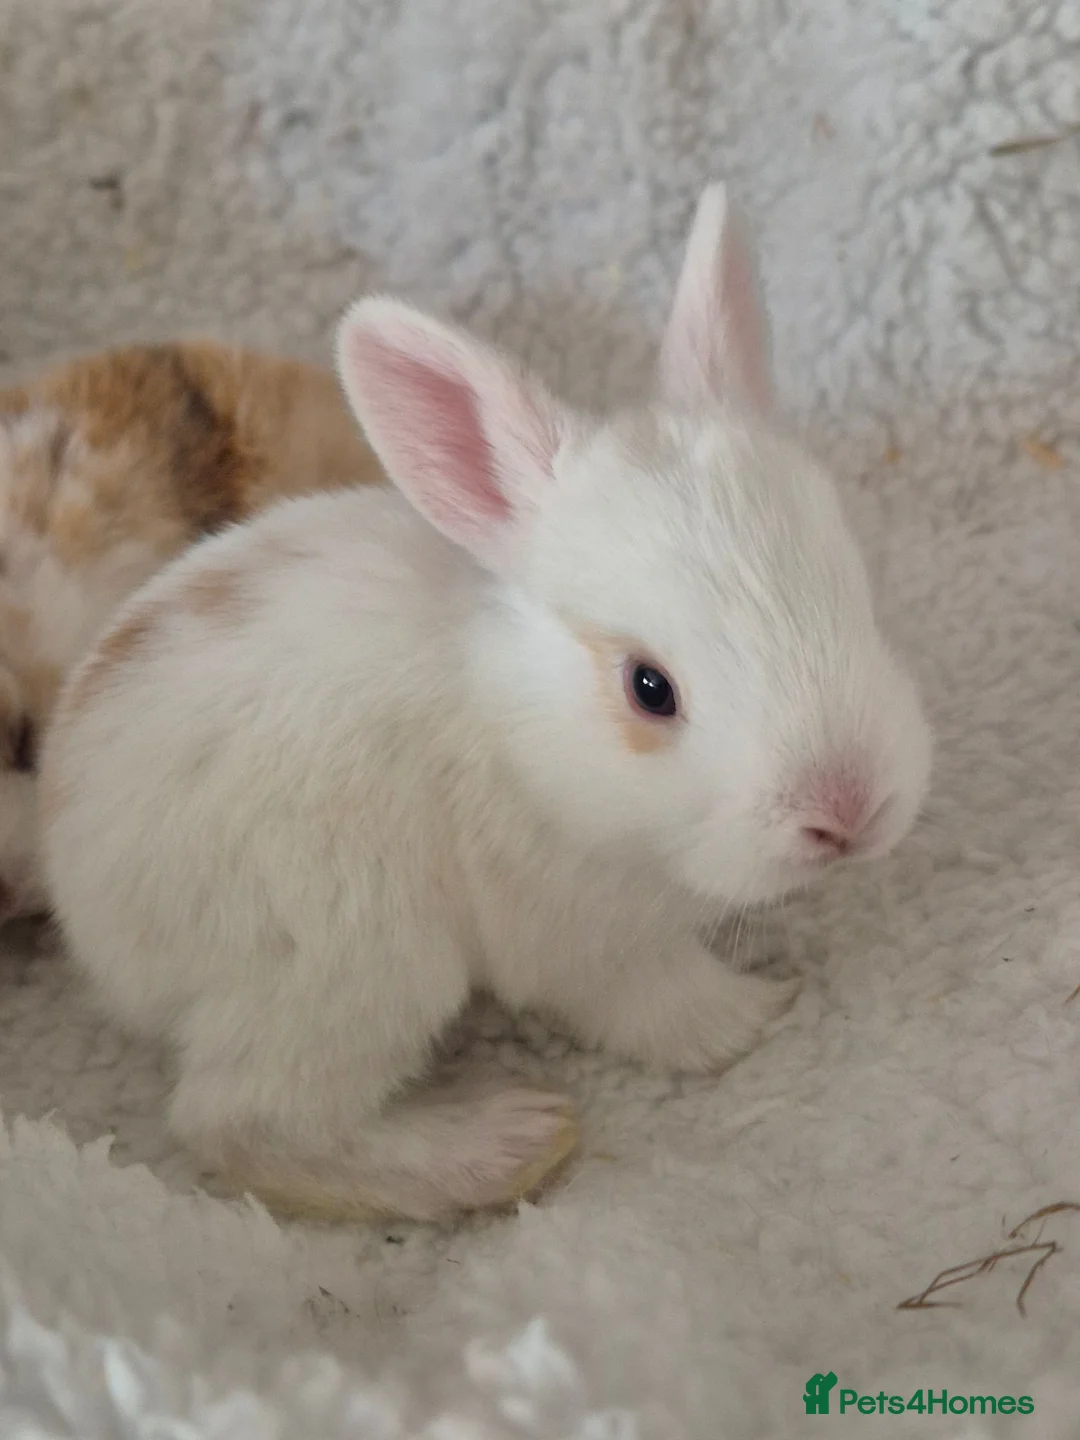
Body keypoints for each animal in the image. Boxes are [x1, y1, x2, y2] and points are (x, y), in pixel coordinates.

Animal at [40, 183, 932, 1224]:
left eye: (853, 589)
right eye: (650, 689)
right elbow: (662, 1008)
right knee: (242, 1122)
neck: (525, 731)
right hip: (353, 963)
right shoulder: (586, 938)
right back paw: (504, 1145)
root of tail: (82, 892)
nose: (848, 811)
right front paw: (756, 1015)